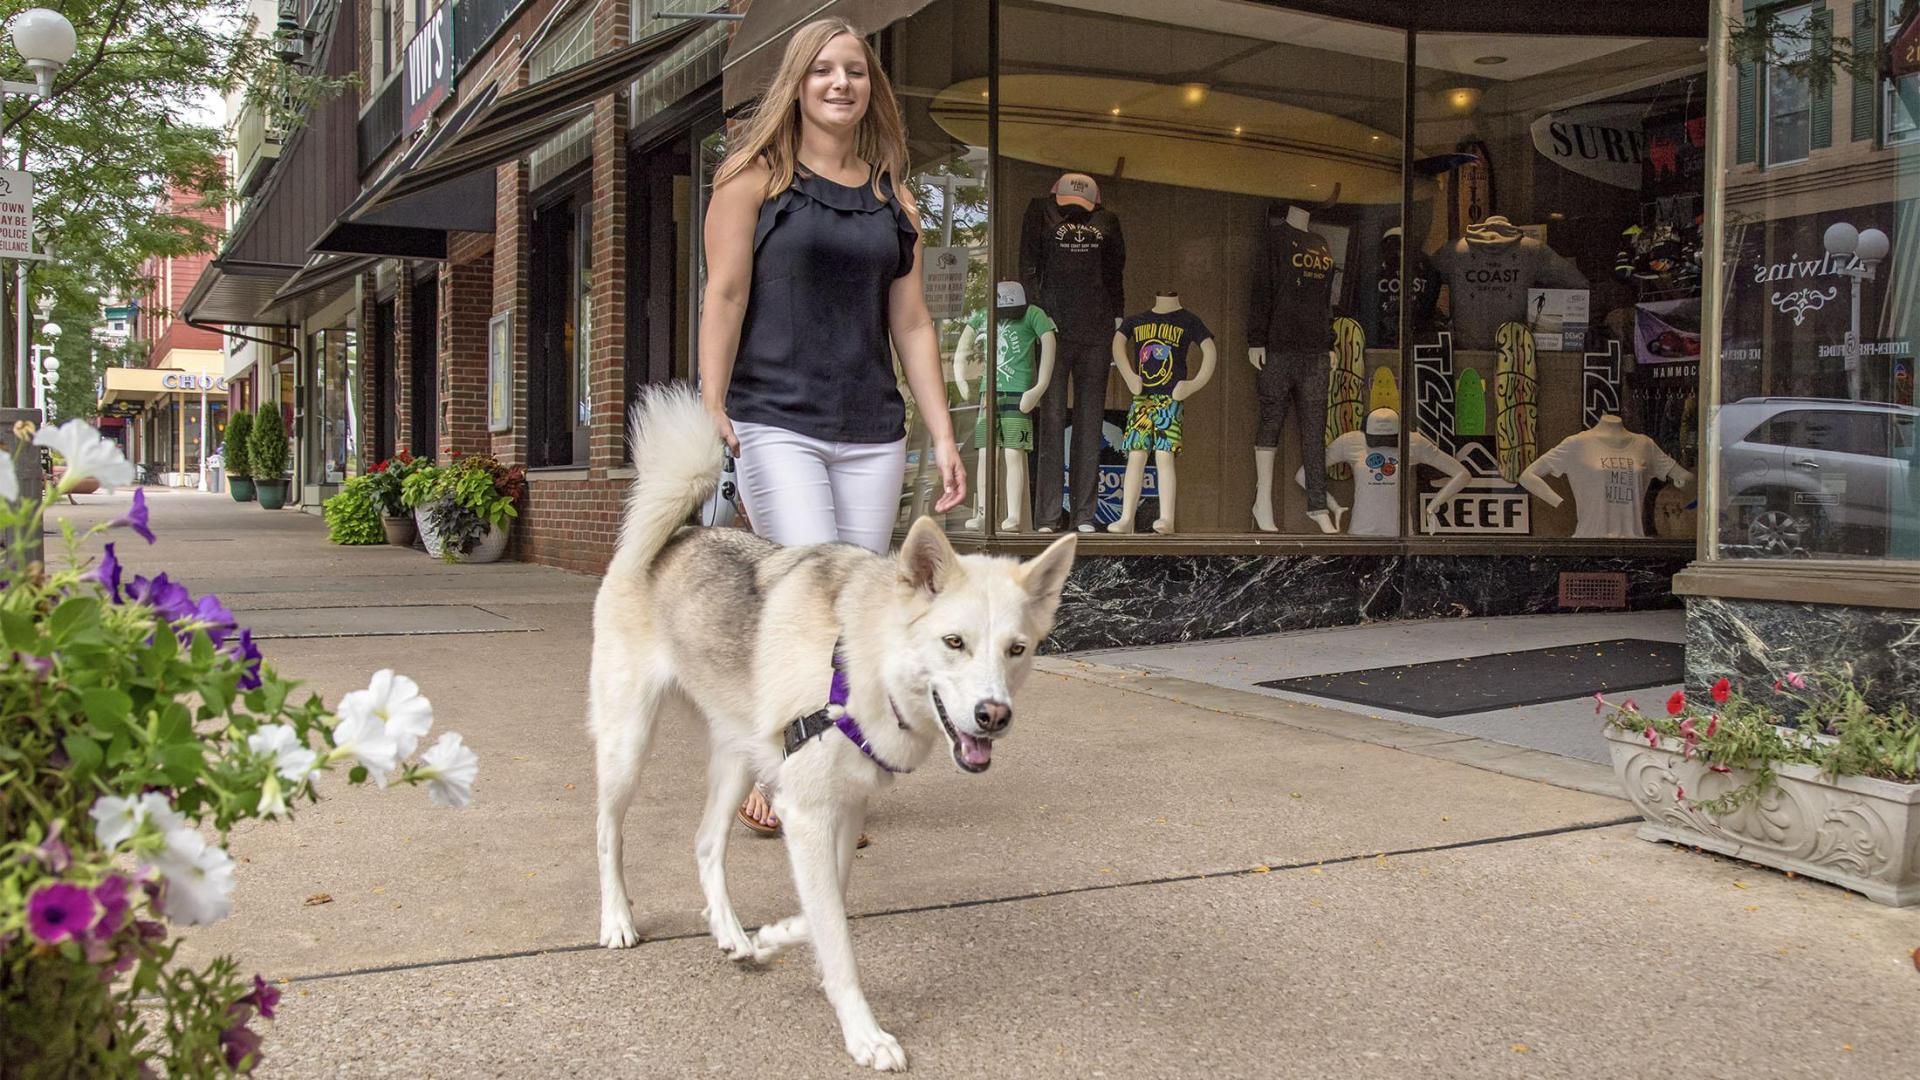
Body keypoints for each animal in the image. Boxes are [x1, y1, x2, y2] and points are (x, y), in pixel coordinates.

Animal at [587, 382, 1082, 1060]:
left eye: (1018, 649)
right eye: (954, 642)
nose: (993, 716)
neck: (859, 660)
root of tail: (678, 534)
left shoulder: (840, 808)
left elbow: (830, 905)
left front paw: (777, 936)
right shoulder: (808, 811)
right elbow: (838, 936)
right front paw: (863, 1032)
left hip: (739, 760)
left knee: (707, 843)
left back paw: (733, 932)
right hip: (628, 745)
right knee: (609, 833)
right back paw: (617, 918)